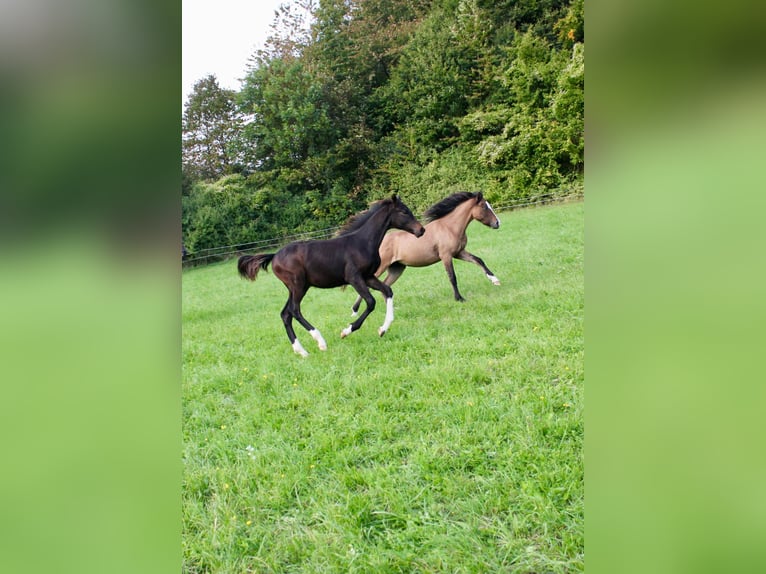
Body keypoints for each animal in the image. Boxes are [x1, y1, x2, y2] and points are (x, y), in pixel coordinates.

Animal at [238, 194, 425, 357]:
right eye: (403, 211)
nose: (421, 230)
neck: (362, 243)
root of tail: (274, 255)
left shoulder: (368, 276)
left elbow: (387, 291)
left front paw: (382, 329)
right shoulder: (354, 278)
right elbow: (371, 302)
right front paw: (346, 331)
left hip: (297, 287)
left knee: (285, 314)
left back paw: (302, 351)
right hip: (298, 285)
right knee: (294, 310)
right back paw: (320, 342)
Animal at [351, 191, 500, 314]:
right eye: (484, 206)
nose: (497, 223)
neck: (450, 227)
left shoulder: (459, 253)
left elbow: (478, 260)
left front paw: (495, 280)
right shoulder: (446, 256)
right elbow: (452, 277)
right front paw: (459, 298)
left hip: (397, 268)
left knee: (385, 285)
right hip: (381, 267)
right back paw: (355, 310)